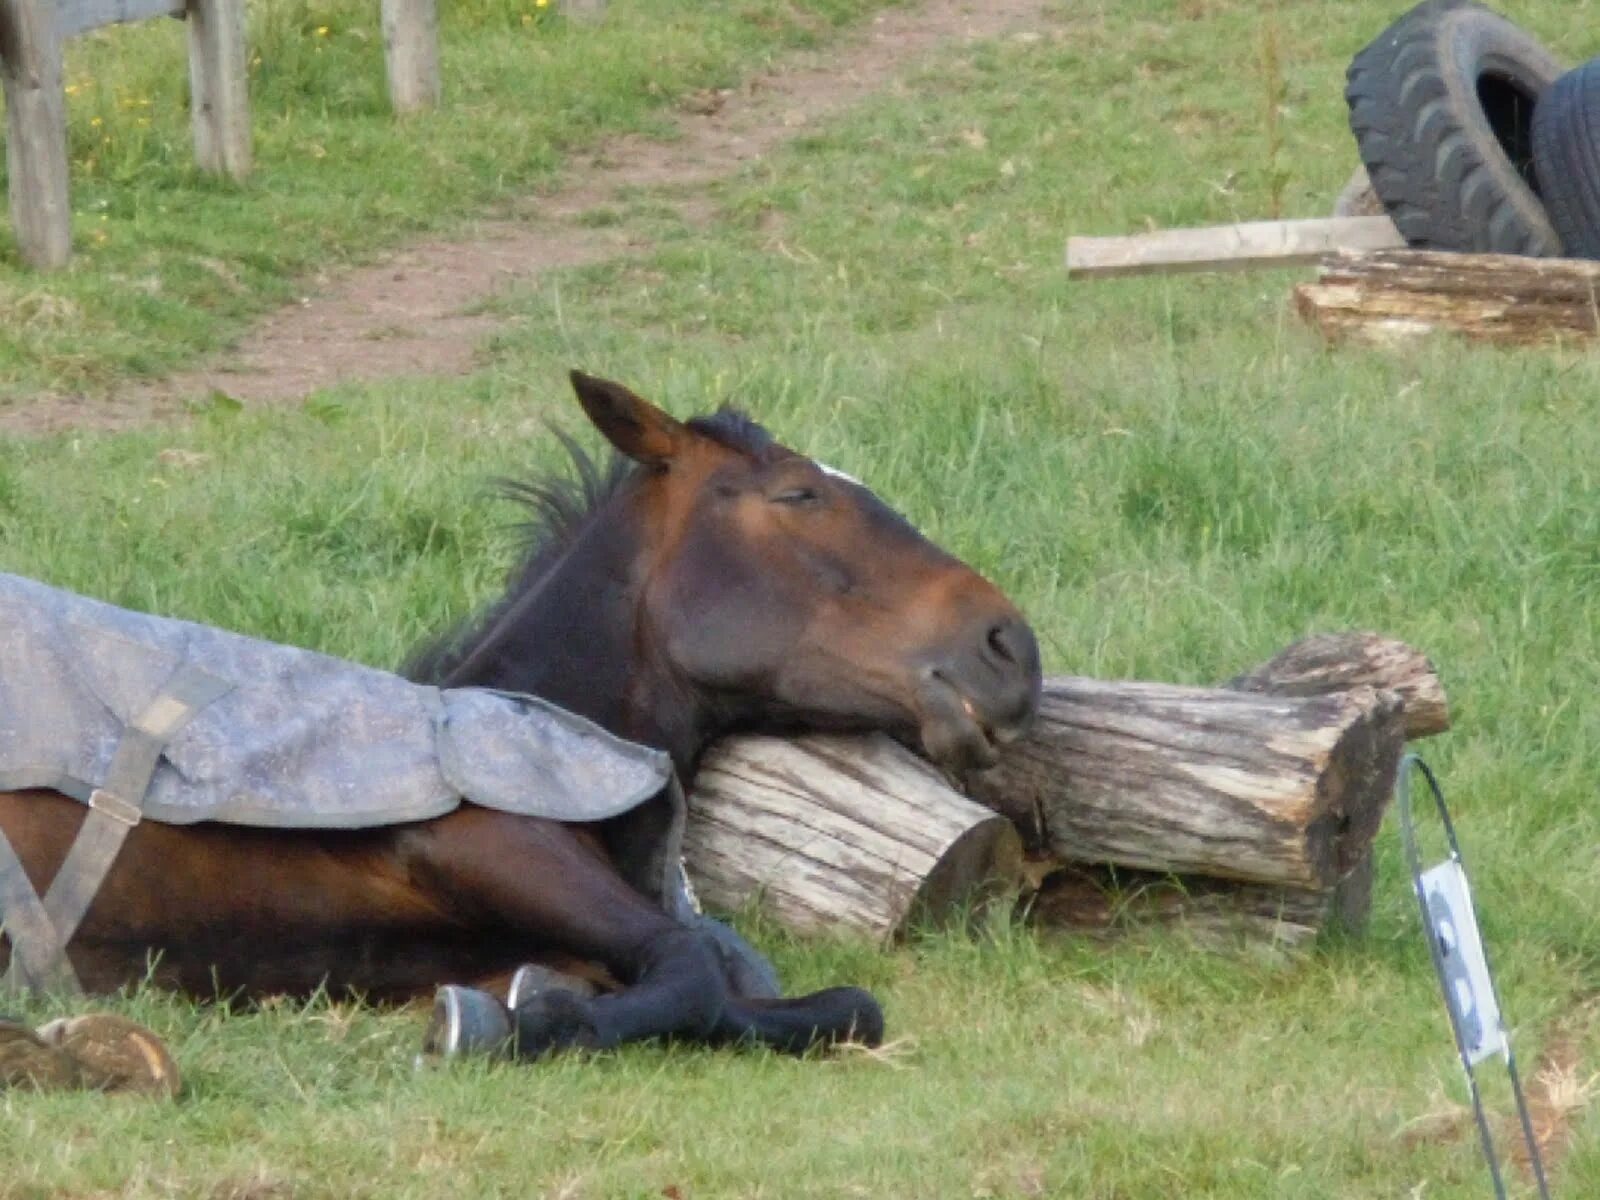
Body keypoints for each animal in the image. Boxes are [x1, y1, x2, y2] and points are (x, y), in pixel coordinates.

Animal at [0, 371, 1043, 1056]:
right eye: (799, 492)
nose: (1010, 649)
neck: (546, 715)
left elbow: (807, 997)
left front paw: (523, 1009)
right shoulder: (488, 844)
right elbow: (697, 966)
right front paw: (531, 1023)